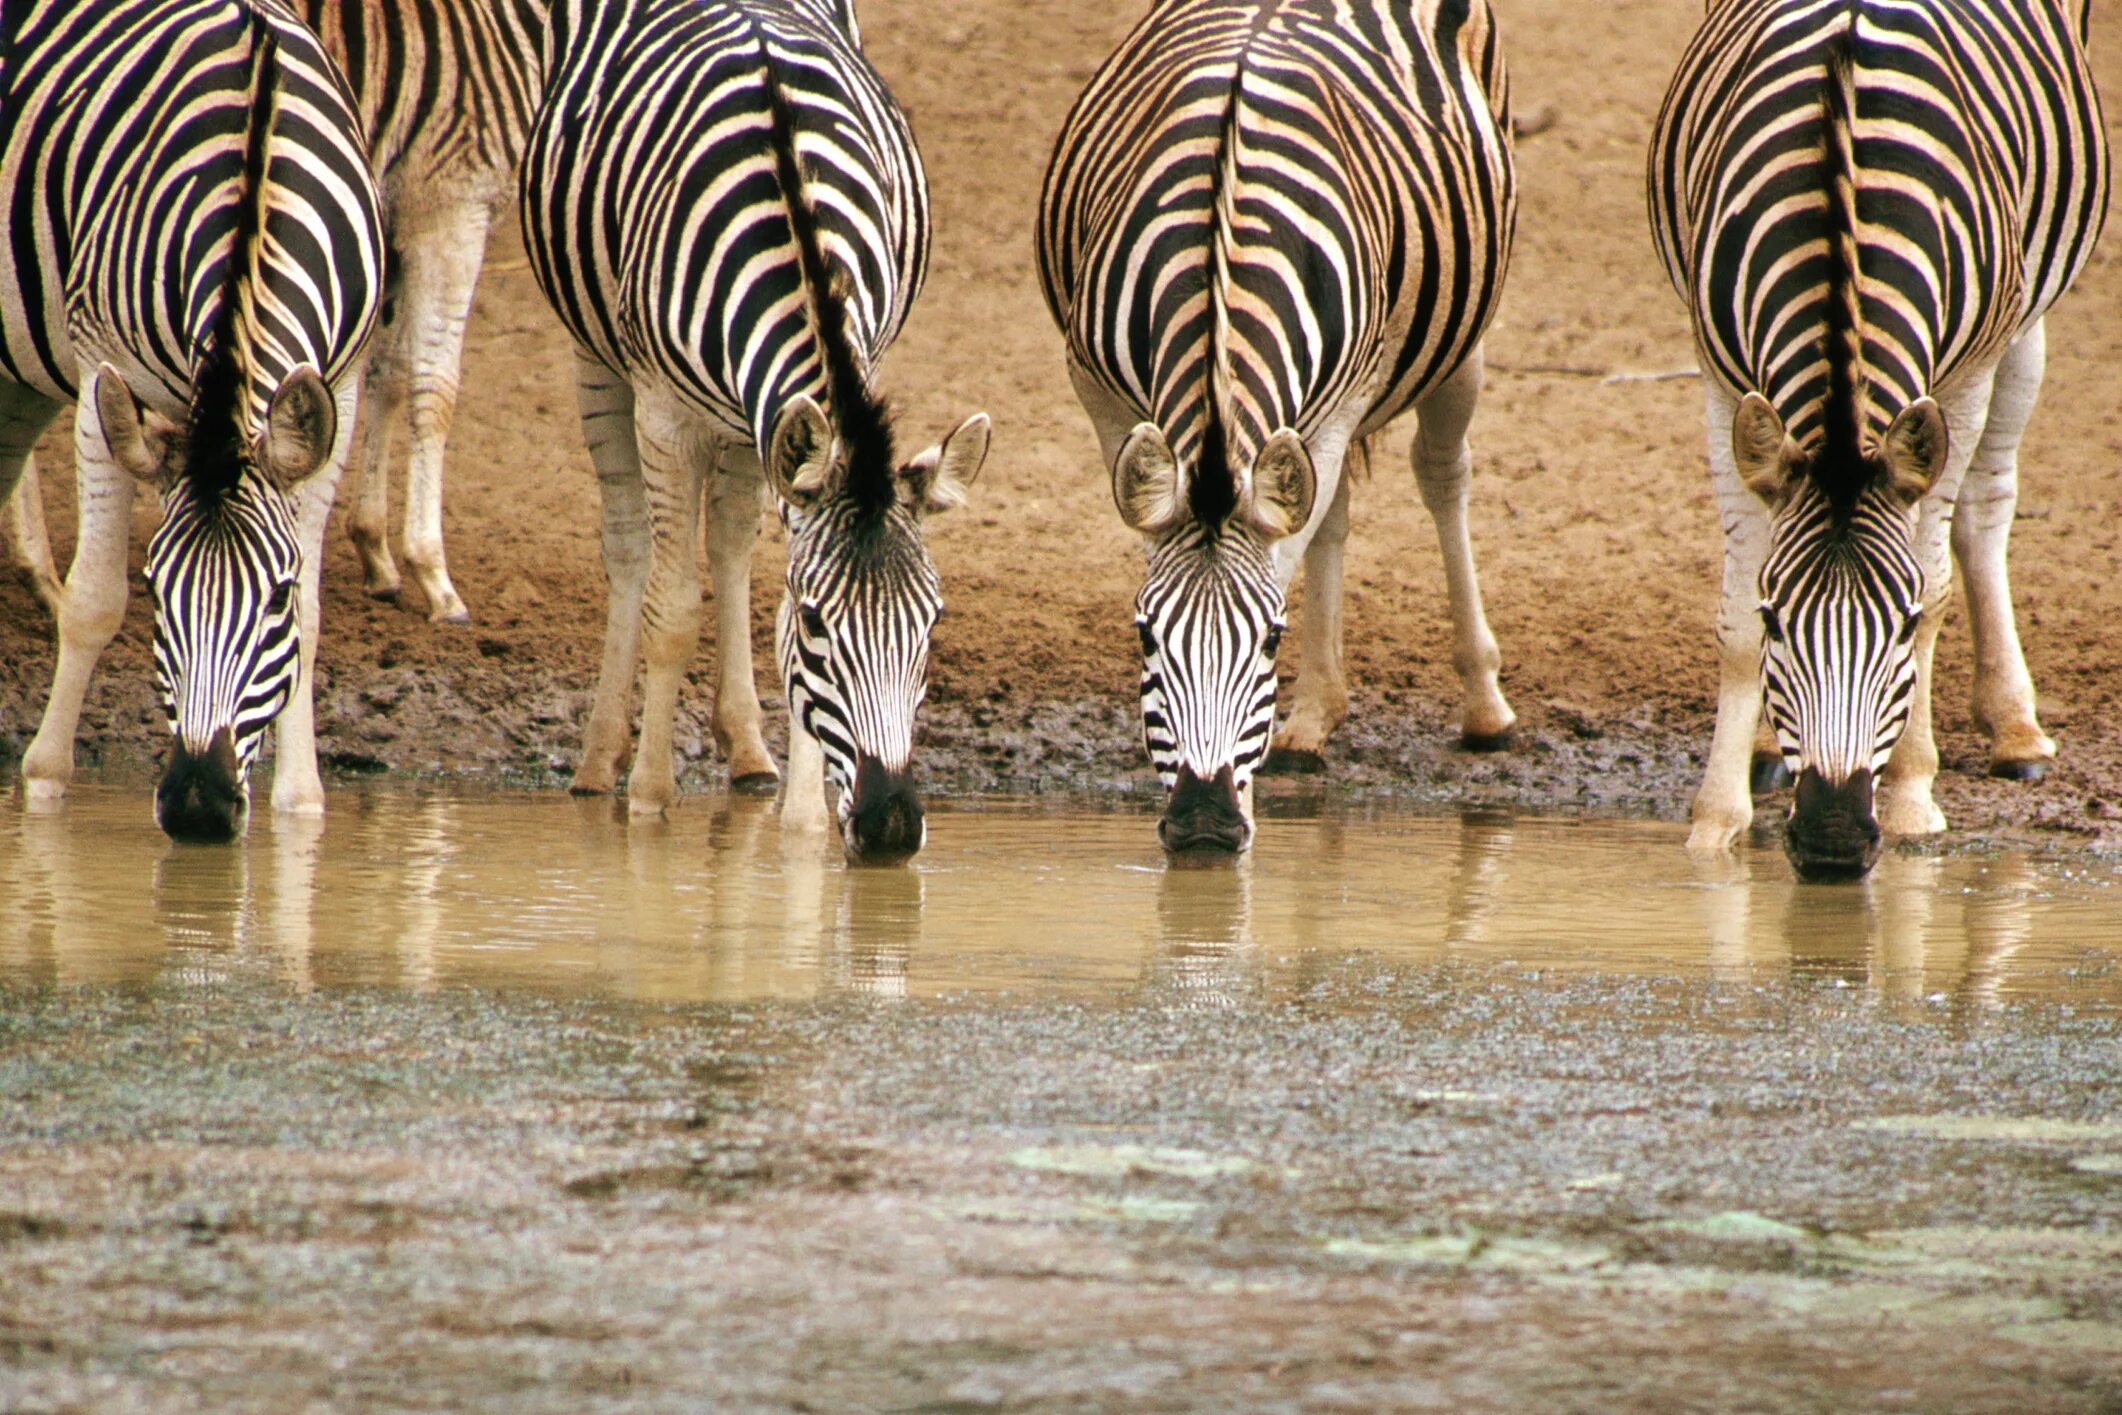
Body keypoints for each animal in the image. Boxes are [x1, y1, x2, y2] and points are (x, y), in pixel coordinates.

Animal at [4, 0, 384, 840]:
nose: (199, 805)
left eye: (274, 598)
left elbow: (316, 610)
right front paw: (43, 784)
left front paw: (301, 803)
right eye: (156, 587)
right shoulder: (100, 370)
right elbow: (91, 600)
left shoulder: (341, 386)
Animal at [309, 0, 560, 623]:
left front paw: (374, 549)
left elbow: (389, 375)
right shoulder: (449, 207)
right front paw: (434, 575)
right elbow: (435, 386)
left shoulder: (394, 218)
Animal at [530, 0, 993, 865]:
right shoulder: (665, 417)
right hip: (598, 355)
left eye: (934, 621)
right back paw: (601, 761)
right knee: (630, 546)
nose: (890, 826)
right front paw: (649, 800)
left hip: (759, 426)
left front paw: (804, 825)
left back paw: (747, 751)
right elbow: (674, 612)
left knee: (730, 539)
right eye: (817, 623)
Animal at [1035, 0, 1519, 852]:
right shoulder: (1098, 390)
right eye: (1143, 636)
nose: (1201, 826)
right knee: (1331, 509)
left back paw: (1484, 703)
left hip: (1456, 336)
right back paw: (1312, 718)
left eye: (1269, 637)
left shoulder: (1349, 390)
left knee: (1441, 473)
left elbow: (1285, 557)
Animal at [1646, 0, 2113, 878]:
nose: (1831, 842)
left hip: (2023, 313)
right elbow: (1731, 619)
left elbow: (1936, 585)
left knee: (1984, 506)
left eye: (1895, 624)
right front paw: (1715, 823)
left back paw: (2015, 727)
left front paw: (1910, 797)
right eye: (1776, 621)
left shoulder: (1962, 380)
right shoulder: (1719, 376)